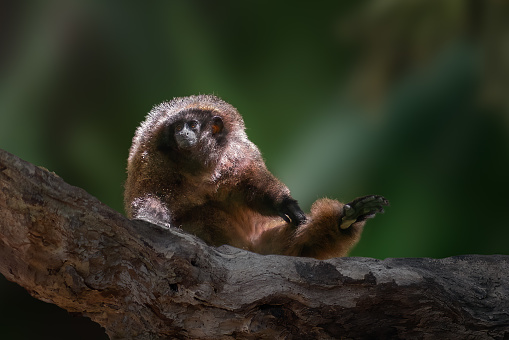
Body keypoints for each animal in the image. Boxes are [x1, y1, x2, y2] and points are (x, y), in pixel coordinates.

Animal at [125, 94, 386, 258]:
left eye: (192, 125)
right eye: (178, 127)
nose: (183, 134)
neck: (199, 167)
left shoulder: (238, 153)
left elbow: (253, 190)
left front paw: (285, 204)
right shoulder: (151, 158)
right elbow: (150, 195)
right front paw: (151, 219)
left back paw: (347, 219)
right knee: (202, 213)